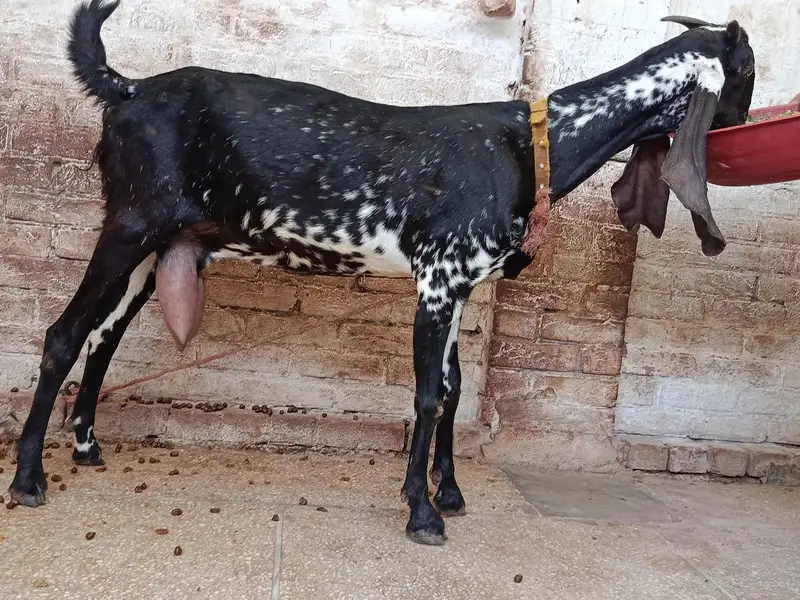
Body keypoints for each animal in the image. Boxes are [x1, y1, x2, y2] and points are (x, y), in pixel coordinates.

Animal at [9, 0, 755, 547]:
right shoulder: (438, 277)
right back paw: (27, 478)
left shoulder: (460, 284)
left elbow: (453, 389)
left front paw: (448, 492)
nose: (745, 122)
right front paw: (421, 514)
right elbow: (426, 396)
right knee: (62, 336)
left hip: (151, 252)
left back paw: (86, 446)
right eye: (748, 69)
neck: (530, 144)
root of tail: (127, 88)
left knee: (102, 339)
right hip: (128, 226)